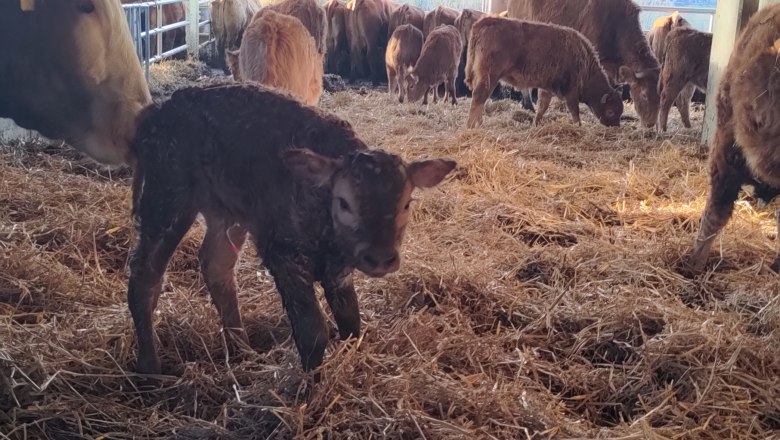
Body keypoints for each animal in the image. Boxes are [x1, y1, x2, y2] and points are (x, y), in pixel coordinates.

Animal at [127, 82, 456, 375]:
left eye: (406, 203)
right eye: (344, 203)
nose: (380, 257)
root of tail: (158, 110)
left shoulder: (339, 272)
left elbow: (352, 323)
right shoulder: (283, 256)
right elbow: (313, 333)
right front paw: (311, 388)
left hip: (228, 212)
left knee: (216, 265)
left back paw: (242, 349)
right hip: (167, 196)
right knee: (145, 277)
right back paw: (150, 367)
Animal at [465, 17, 623, 129]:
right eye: (610, 111)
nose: (615, 127)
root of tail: (485, 22)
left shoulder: (547, 89)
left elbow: (542, 107)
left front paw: (536, 124)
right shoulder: (571, 92)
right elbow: (574, 111)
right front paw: (579, 126)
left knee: (480, 98)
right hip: (490, 76)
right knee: (479, 96)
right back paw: (473, 125)